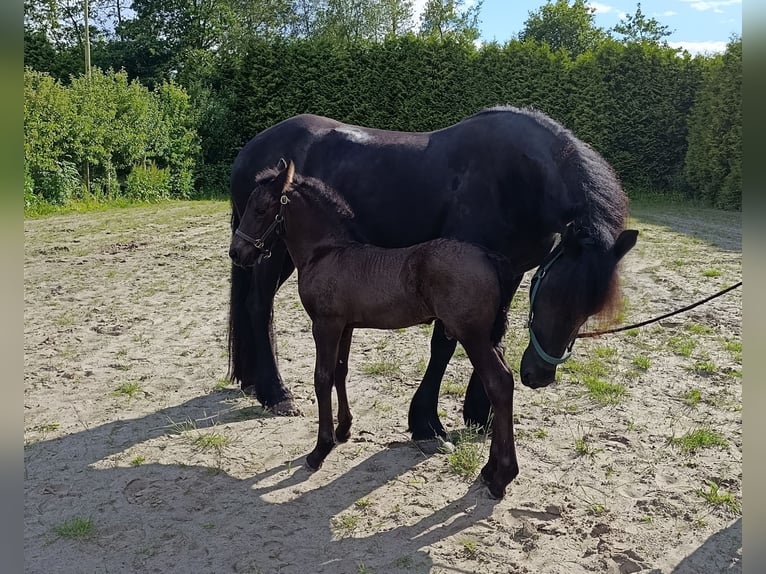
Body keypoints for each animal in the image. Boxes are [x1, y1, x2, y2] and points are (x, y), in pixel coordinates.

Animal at [228, 105, 637, 440]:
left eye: (589, 309)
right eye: (550, 293)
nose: (538, 376)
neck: (516, 179)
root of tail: (251, 149)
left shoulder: (510, 273)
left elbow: (494, 335)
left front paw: (482, 415)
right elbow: (444, 343)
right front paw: (425, 421)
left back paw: (255, 383)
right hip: (269, 251)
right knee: (258, 307)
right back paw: (276, 393)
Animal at [229, 160, 521, 498]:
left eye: (261, 208)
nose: (237, 252)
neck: (326, 252)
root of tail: (489, 256)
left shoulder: (325, 325)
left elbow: (322, 378)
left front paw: (319, 450)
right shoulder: (346, 326)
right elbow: (340, 372)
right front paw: (343, 430)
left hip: (472, 336)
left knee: (499, 383)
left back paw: (501, 478)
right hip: (488, 337)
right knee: (503, 382)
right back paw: (490, 471)